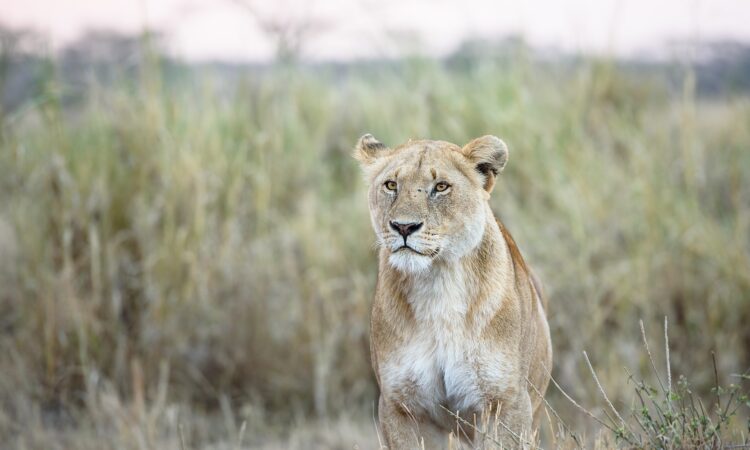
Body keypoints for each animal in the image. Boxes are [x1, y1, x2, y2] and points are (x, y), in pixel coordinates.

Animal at [354, 134, 552, 449]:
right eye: (391, 185)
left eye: (441, 187)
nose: (403, 227)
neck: (437, 282)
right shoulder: (400, 406)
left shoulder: (505, 403)